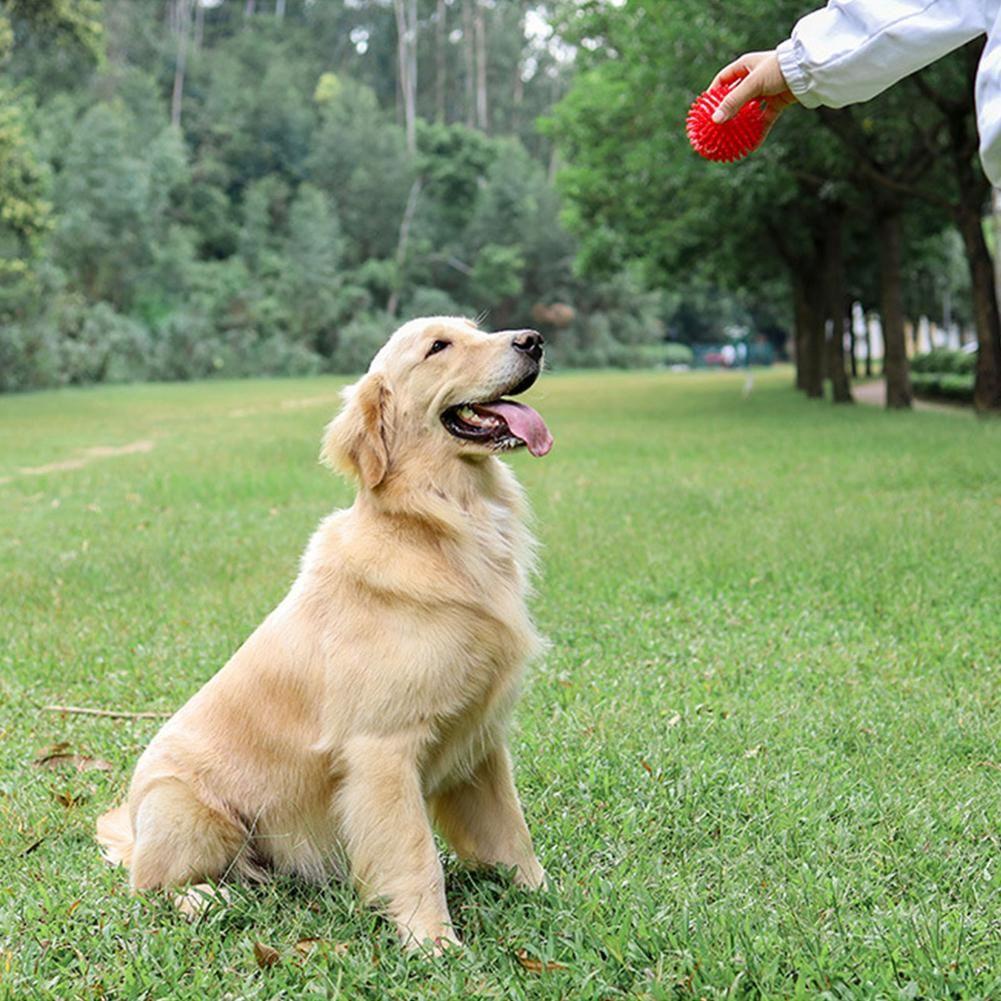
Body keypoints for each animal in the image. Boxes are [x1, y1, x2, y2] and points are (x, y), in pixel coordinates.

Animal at [98, 316, 556, 948]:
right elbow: (415, 855)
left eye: (476, 328)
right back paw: (205, 897)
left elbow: (511, 831)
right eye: (438, 347)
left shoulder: (482, 740)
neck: (441, 523)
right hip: (187, 807)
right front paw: (432, 941)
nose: (533, 340)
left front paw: (540, 894)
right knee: (147, 887)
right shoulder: (383, 749)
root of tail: (135, 828)